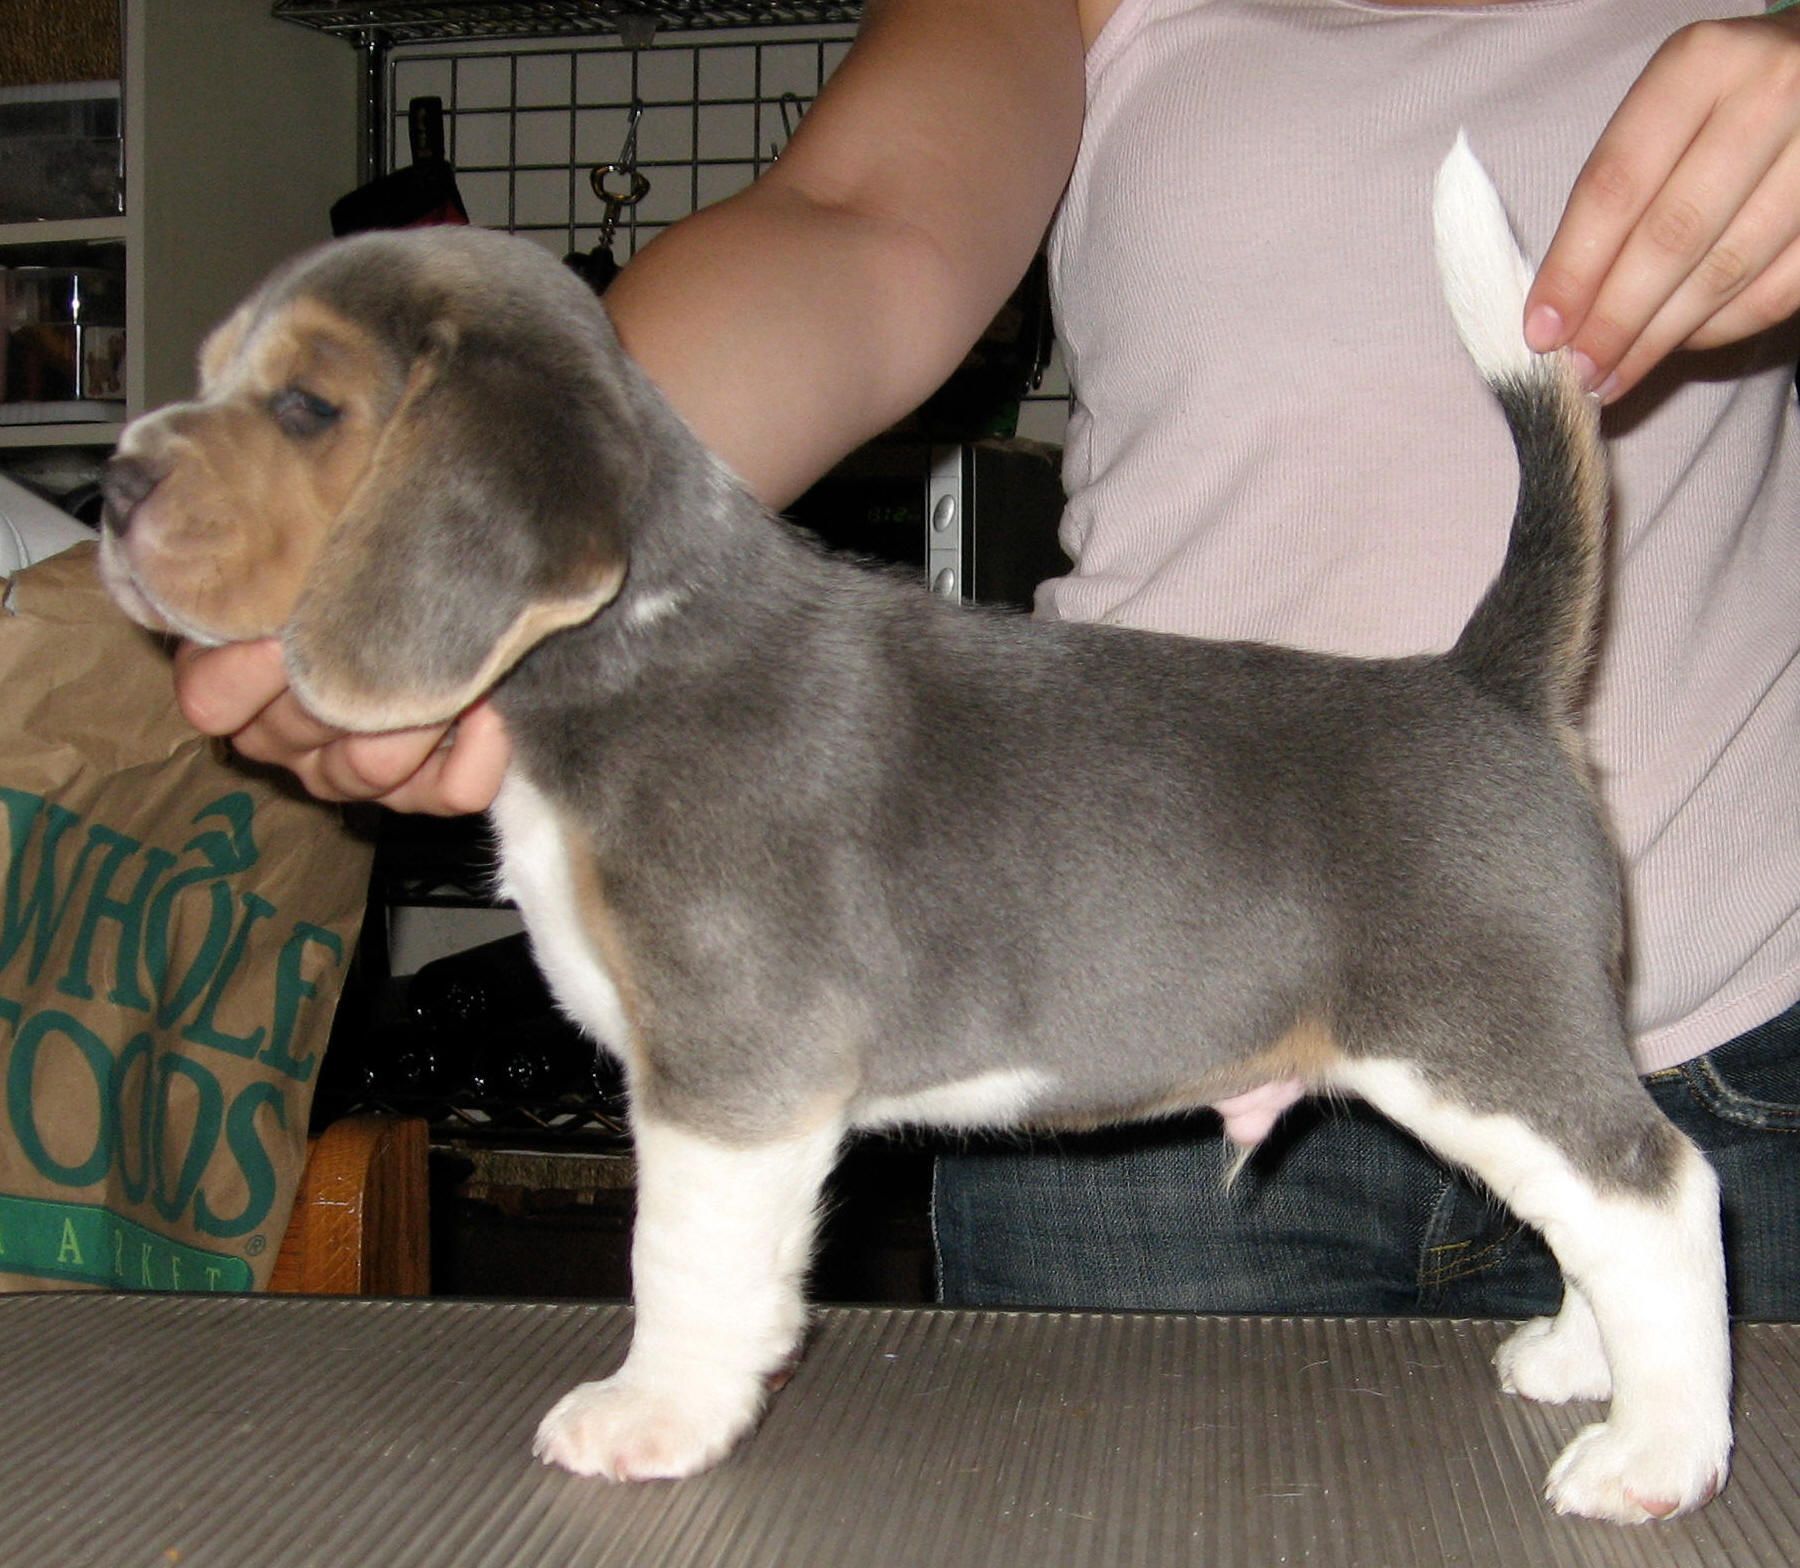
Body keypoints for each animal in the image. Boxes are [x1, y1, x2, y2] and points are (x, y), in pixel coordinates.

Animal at [94, 141, 1728, 1526]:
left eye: (306, 407)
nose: (108, 488)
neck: (639, 638)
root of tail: (1482, 680)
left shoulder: (731, 1071)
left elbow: (679, 1260)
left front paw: (652, 1416)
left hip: (1481, 1042)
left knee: (1659, 1190)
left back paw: (1657, 1449)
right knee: (1611, 1205)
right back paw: (1581, 1361)